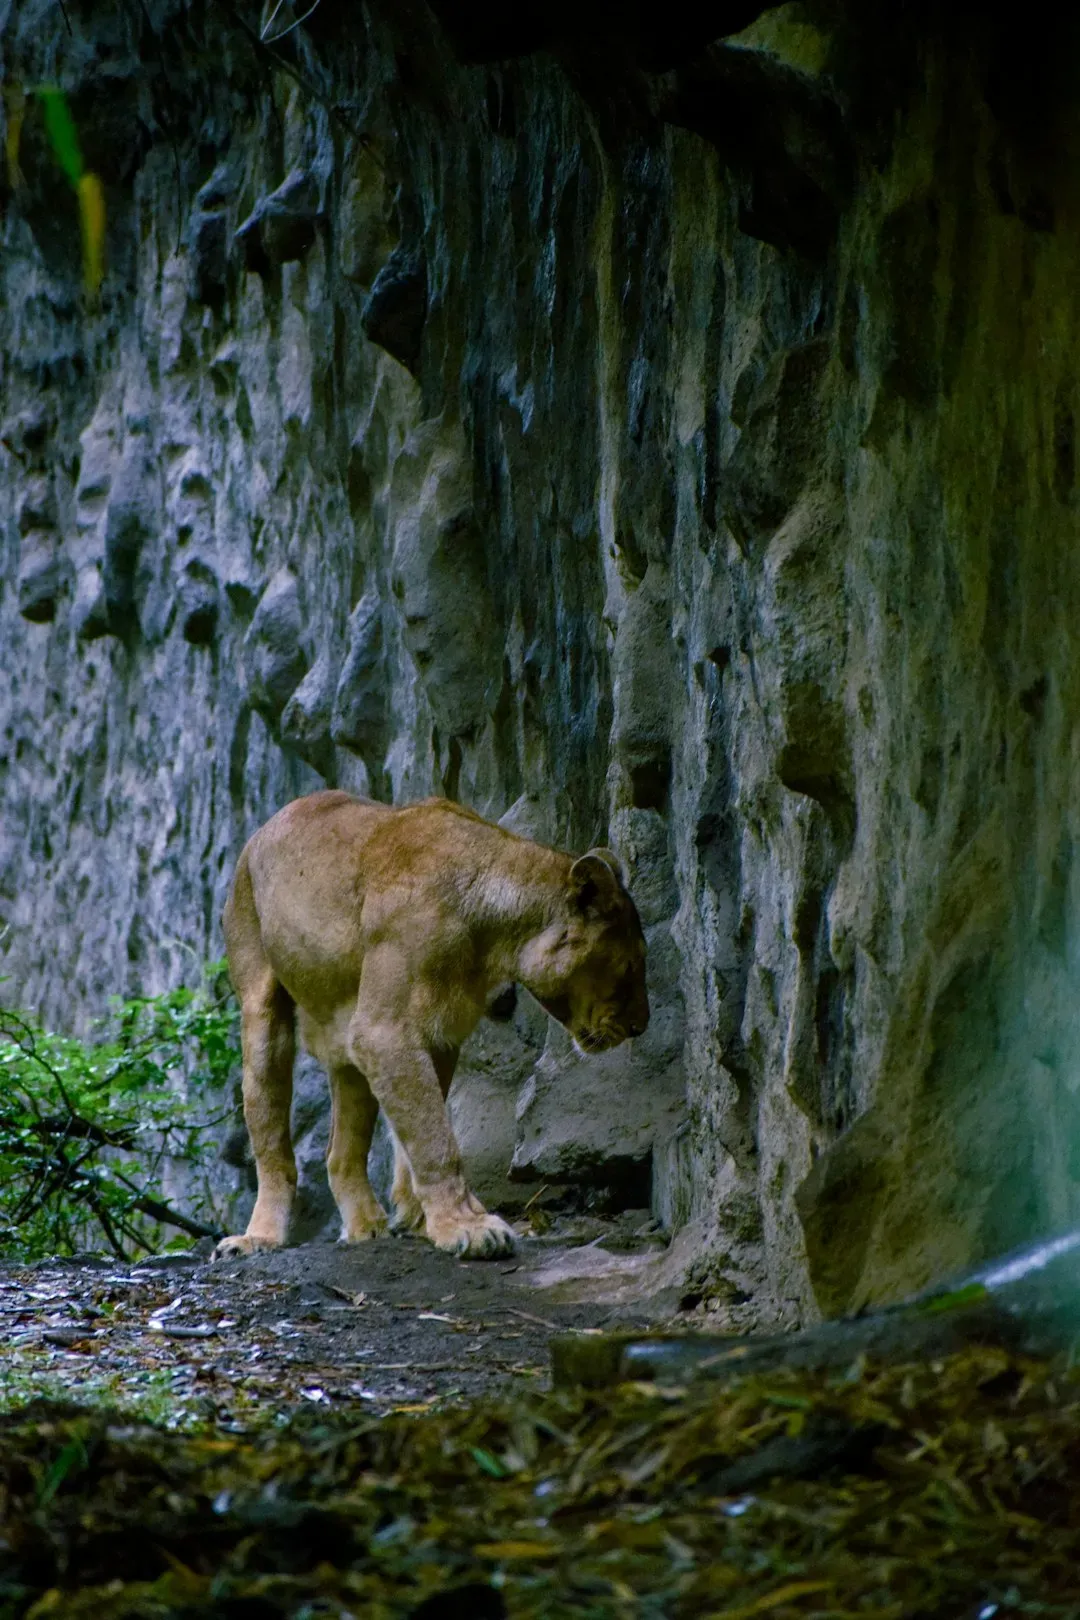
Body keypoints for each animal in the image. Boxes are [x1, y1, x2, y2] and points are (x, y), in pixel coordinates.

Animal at [214, 791, 649, 1260]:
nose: (641, 1026)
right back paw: (258, 1237)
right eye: (630, 965)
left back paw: (366, 1226)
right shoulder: (383, 1031)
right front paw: (467, 1227)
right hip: (262, 1008)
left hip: (345, 1035)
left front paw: (423, 1218)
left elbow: (420, 1129)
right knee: (270, 1137)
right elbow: (433, 1137)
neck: (495, 931)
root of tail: (263, 830)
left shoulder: (439, 1034)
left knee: (339, 1152)